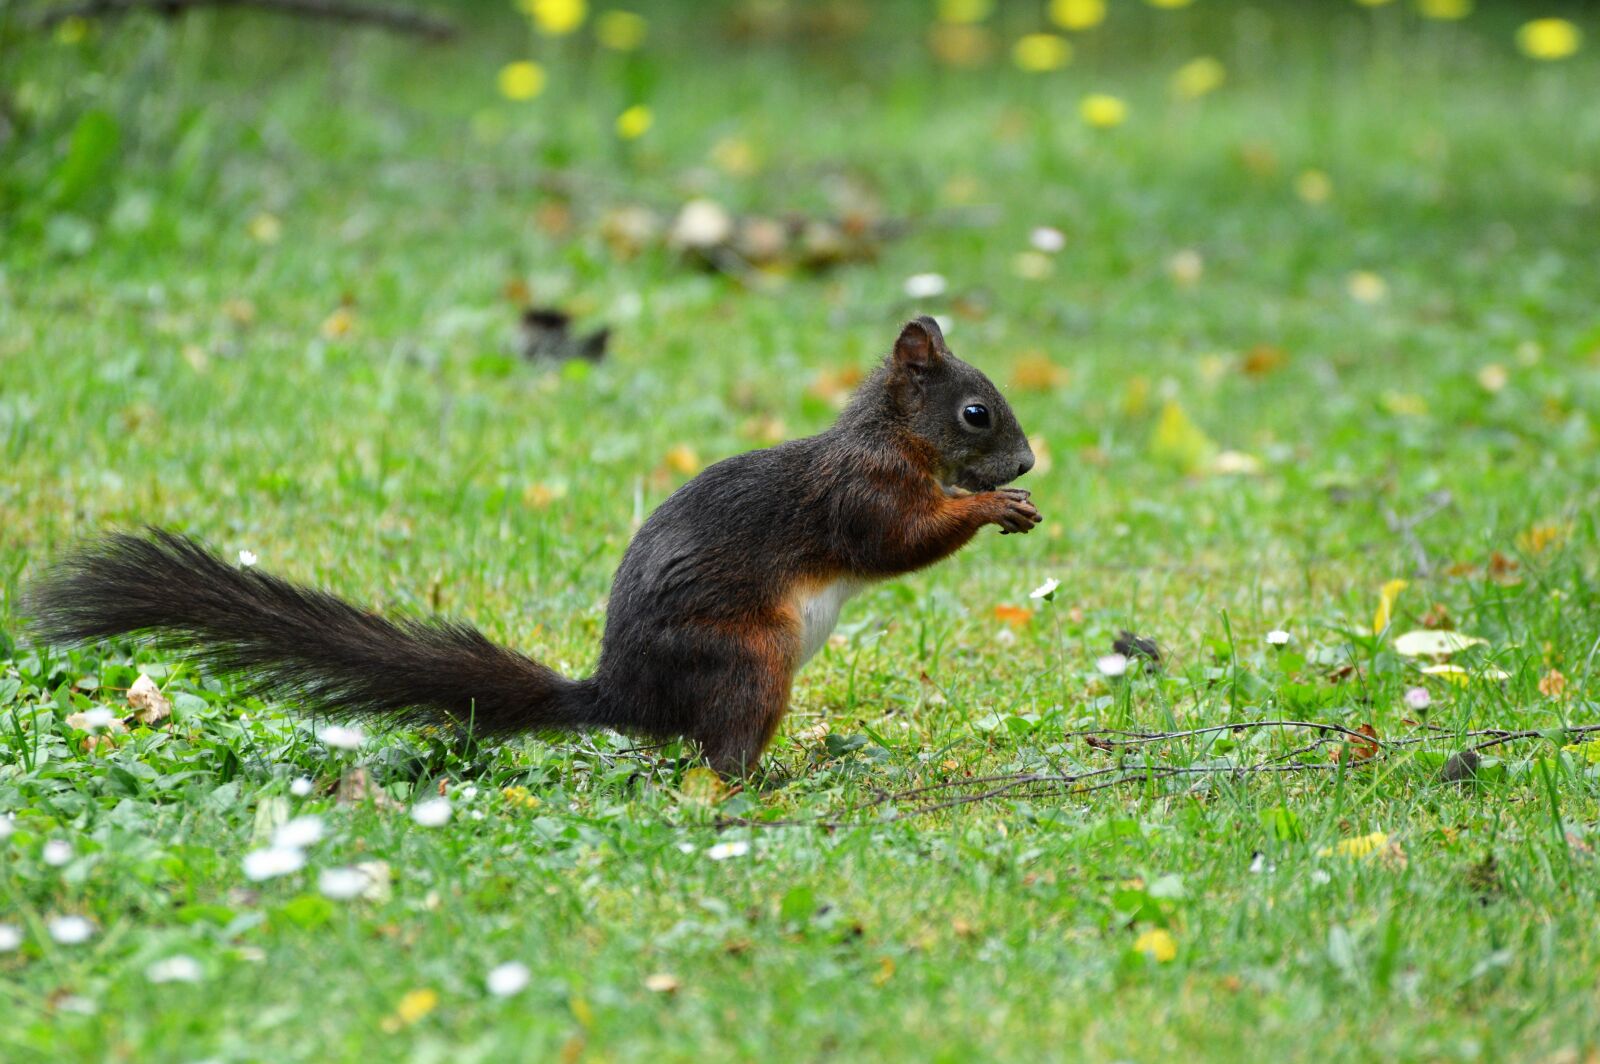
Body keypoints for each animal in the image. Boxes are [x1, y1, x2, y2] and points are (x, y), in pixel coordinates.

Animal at [29, 316, 1040, 775]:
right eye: (975, 413)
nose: (1029, 460)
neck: (890, 438)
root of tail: (622, 695)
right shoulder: (859, 496)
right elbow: (898, 542)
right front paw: (995, 507)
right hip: (747, 657)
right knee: (720, 752)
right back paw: (769, 780)